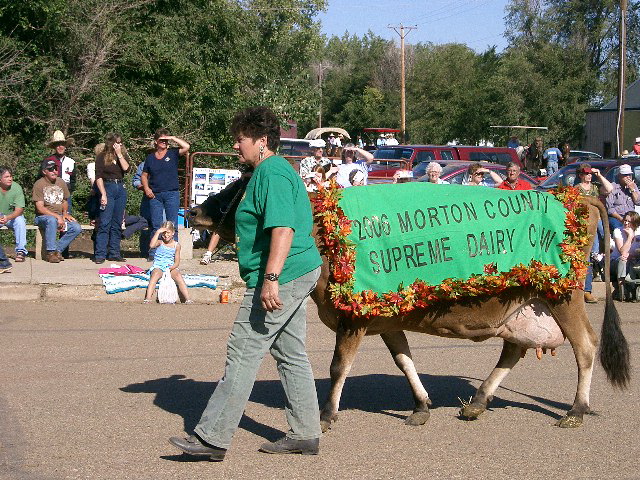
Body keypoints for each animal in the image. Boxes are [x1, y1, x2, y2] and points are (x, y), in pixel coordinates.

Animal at [189, 179, 632, 432]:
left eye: (237, 191)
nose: (193, 209)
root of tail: (579, 197)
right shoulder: (388, 318)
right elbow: (404, 360)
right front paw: (421, 406)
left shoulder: (353, 318)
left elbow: (338, 366)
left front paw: (329, 415)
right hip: (525, 303)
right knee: (513, 350)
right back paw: (477, 403)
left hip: (563, 296)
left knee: (586, 347)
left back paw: (576, 410)